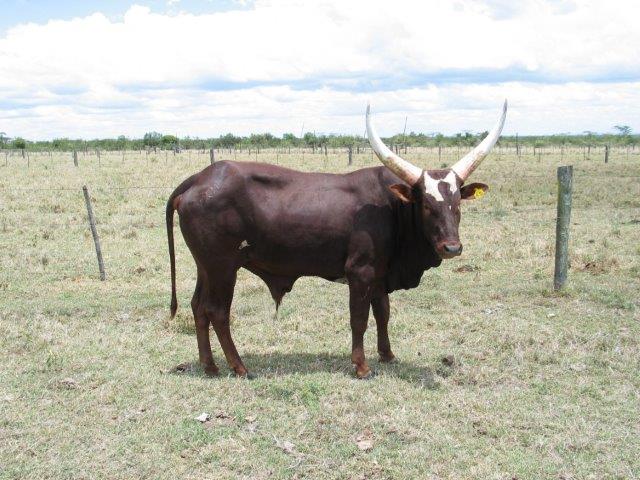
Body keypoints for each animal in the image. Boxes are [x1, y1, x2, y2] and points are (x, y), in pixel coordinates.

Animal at [166, 101, 507, 378]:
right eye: (426, 204)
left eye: (457, 203)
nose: (452, 247)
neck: (391, 205)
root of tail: (200, 178)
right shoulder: (360, 271)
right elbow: (359, 318)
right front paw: (361, 366)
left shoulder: (380, 273)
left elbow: (383, 312)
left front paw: (387, 354)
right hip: (223, 267)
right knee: (217, 311)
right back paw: (239, 367)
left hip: (205, 266)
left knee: (198, 307)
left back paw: (209, 366)